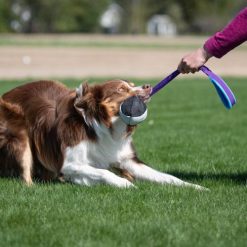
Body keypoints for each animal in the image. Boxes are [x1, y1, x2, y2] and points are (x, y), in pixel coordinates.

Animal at [0, 79, 205, 189]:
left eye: (132, 84)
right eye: (121, 89)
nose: (148, 86)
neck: (107, 127)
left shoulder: (127, 160)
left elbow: (167, 176)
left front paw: (194, 187)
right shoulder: (70, 164)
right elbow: (104, 172)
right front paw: (126, 185)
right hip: (20, 137)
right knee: (25, 173)